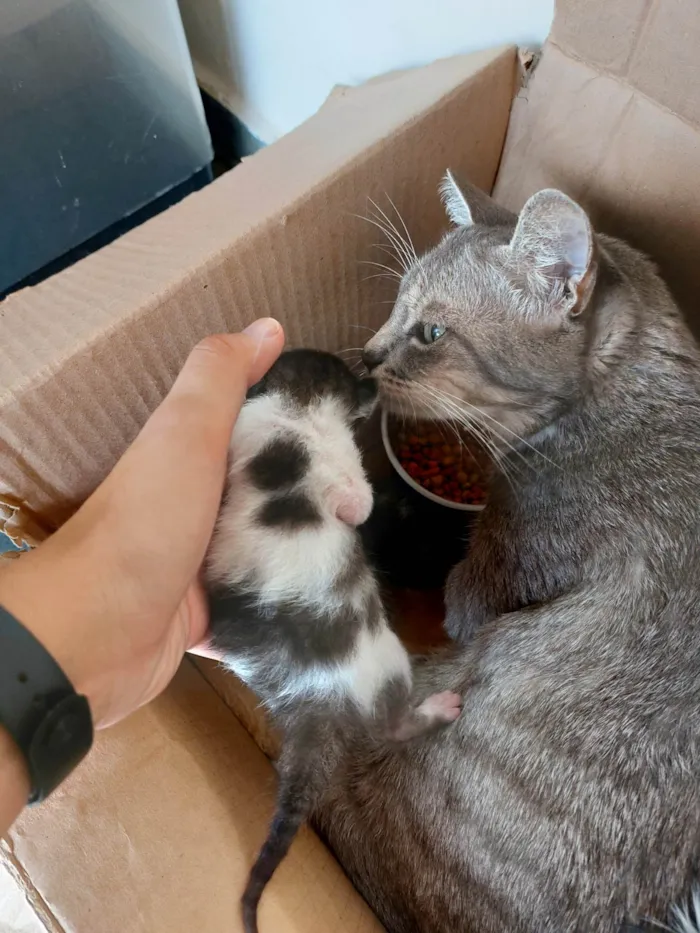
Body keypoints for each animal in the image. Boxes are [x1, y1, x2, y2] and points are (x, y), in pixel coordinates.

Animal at [205, 350, 462, 932]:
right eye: (352, 380)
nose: (375, 381)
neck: (286, 405)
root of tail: (315, 701)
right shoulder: (336, 464)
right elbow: (357, 504)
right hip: (389, 659)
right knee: (392, 727)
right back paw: (442, 706)